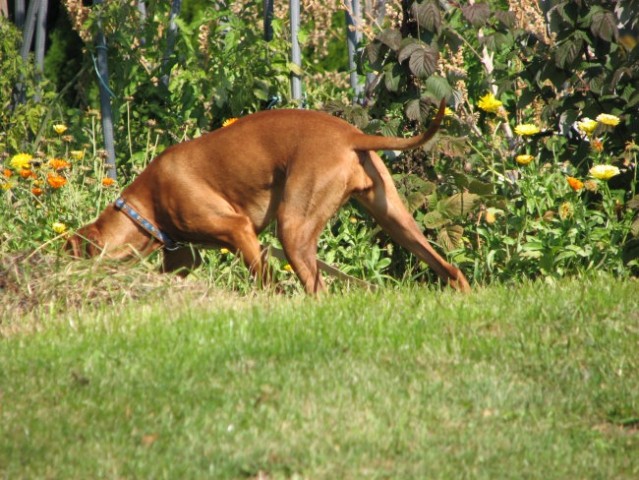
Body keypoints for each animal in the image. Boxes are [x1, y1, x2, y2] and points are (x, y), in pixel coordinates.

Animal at [67, 100, 470, 292]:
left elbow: (268, 283)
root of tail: (350, 135)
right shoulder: (184, 260)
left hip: (292, 229)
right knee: (450, 268)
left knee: (319, 290)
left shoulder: (239, 230)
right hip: (396, 220)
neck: (148, 204)